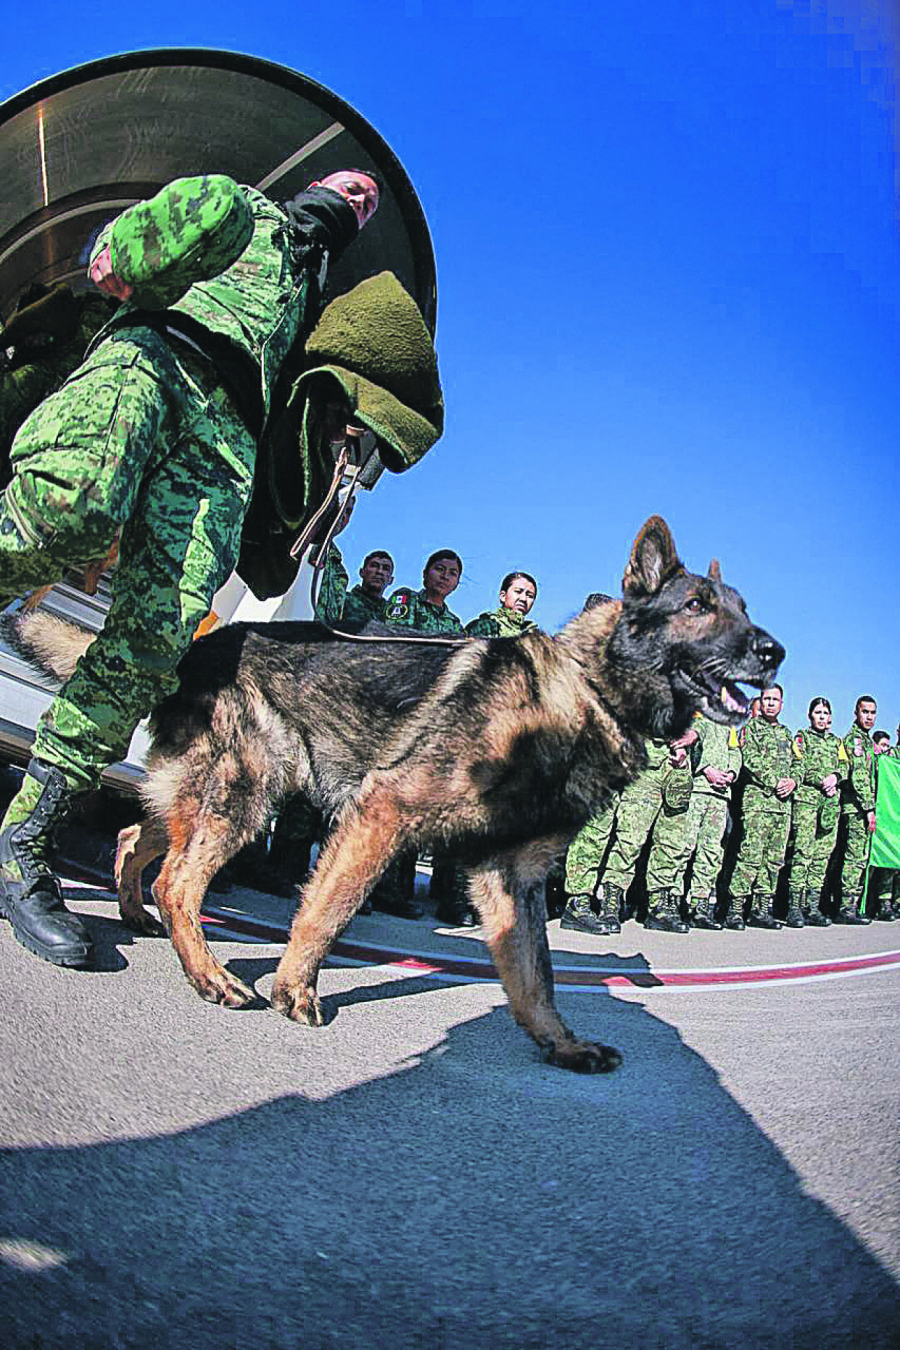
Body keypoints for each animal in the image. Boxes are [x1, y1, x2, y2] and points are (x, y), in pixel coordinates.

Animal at [7, 518, 782, 1074]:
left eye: (744, 611)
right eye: (697, 606)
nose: (773, 651)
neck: (586, 691)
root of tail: (194, 648)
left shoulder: (511, 879)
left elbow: (535, 975)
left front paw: (561, 1044)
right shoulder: (383, 814)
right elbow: (327, 912)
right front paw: (295, 990)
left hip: (218, 793)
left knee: (137, 837)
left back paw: (138, 915)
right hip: (250, 791)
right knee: (179, 879)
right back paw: (208, 973)